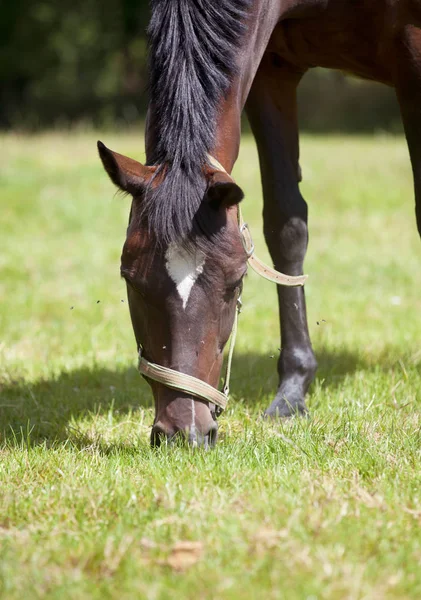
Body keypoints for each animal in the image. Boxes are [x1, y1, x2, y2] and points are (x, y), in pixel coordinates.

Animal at [97, 0, 420, 448]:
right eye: (130, 280)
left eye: (236, 284)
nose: (184, 432)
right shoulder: (271, 67)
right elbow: (286, 224)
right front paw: (292, 393)